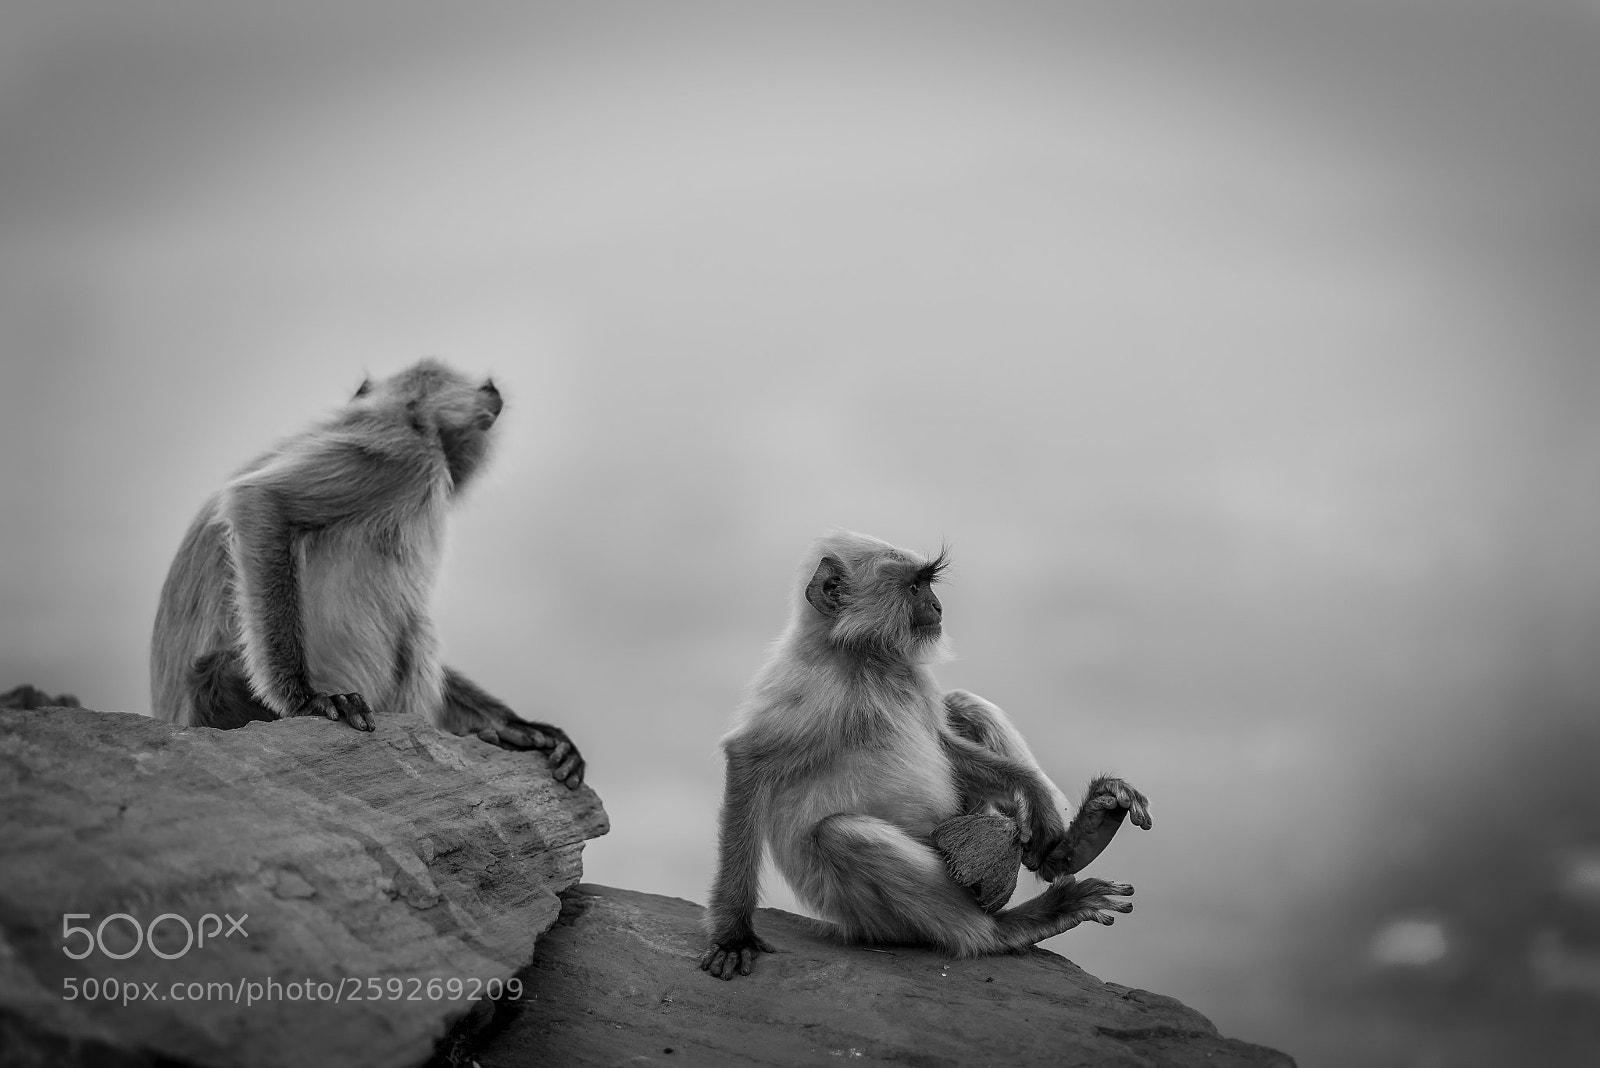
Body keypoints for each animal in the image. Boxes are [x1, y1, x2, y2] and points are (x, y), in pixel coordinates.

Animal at [149, 359, 584, 788]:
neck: (402, 415)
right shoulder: (405, 454)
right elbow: (260, 501)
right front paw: (305, 700)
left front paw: (516, 725)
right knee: (414, 624)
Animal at [699, 531, 1151, 979]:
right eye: (915, 587)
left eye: (928, 585)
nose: (937, 606)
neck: (866, 657)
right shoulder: (814, 685)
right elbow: (747, 759)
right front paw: (733, 937)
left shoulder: (911, 676)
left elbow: (946, 744)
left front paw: (1037, 797)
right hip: (865, 915)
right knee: (842, 834)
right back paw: (1008, 928)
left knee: (964, 704)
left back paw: (1076, 841)